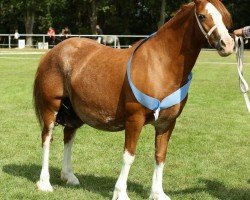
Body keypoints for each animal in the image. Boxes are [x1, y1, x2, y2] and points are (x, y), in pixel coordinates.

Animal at [33, 0, 234, 199]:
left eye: (225, 16)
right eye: (202, 15)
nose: (228, 44)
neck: (160, 66)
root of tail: (54, 52)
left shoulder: (167, 123)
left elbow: (160, 155)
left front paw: (158, 193)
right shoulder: (134, 120)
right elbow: (129, 156)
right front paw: (121, 193)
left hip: (74, 112)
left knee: (69, 137)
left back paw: (69, 176)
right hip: (51, 108)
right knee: (47, 139)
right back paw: (44, 183)